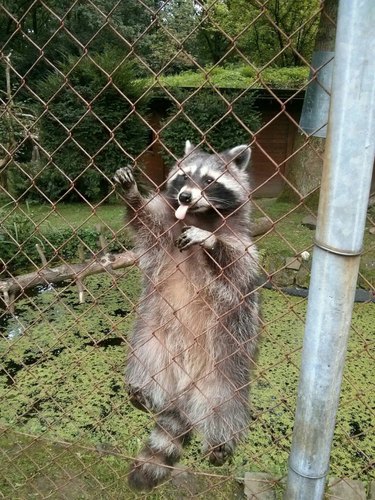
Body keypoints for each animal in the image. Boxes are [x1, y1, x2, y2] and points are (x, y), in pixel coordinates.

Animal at [114, 140, 260, 488]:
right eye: (183, 177)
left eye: (208, 180)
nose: (185, 197)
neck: (199, 215)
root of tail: (183, 390)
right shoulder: (165, 233)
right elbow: (147, 224)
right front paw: (132, 194)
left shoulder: (245, 246)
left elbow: (235, 270)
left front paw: (209, 241)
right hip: (152, 344)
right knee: (145, 365)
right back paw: (142, 395)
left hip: (226, 372)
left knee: (225, 409)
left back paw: (221, 445)